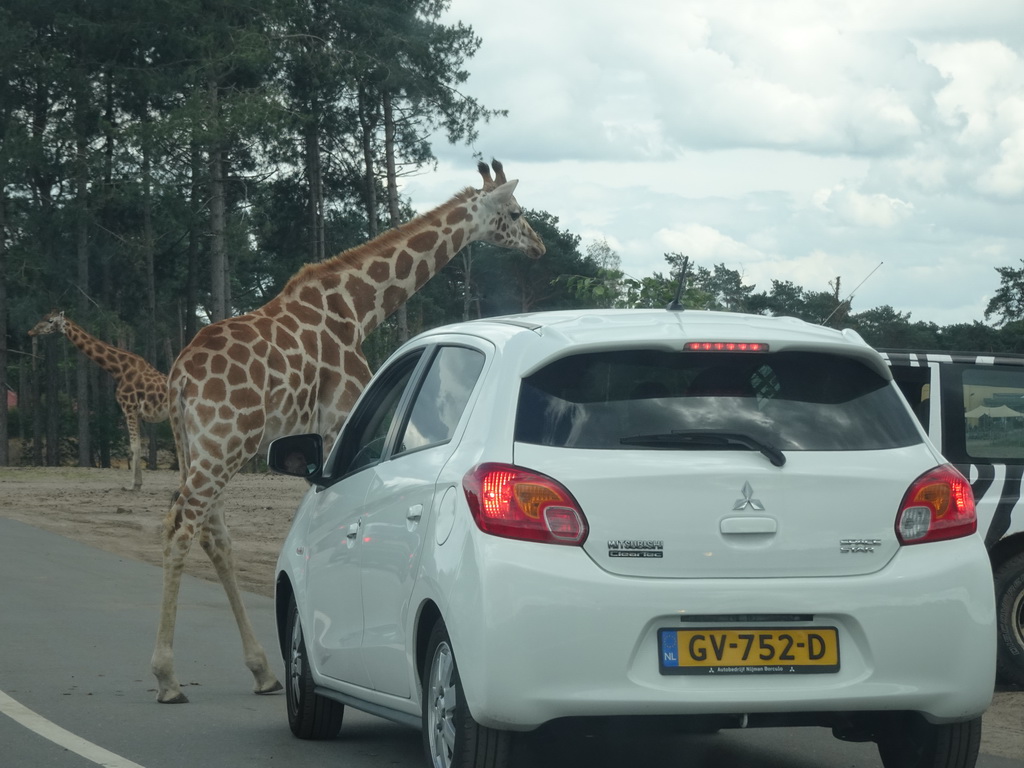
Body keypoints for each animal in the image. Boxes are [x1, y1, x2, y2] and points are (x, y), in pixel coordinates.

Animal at [28, 313, 169, 493]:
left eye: (50, 320)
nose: (31, 331)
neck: (118, 369)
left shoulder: (129, 408)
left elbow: (134, 446)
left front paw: (131, 485)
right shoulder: (136, 413)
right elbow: (137, 445)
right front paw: (137, 484)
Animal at [150, 160, 544, 704]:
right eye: (516, 212)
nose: (539, 246)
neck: (358, 306)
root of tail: (180, 380)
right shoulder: (338, 416)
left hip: (196, 445)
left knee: (213, 533)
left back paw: (261, 671)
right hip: (223, 442)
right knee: (180, 526)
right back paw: (167, 678)